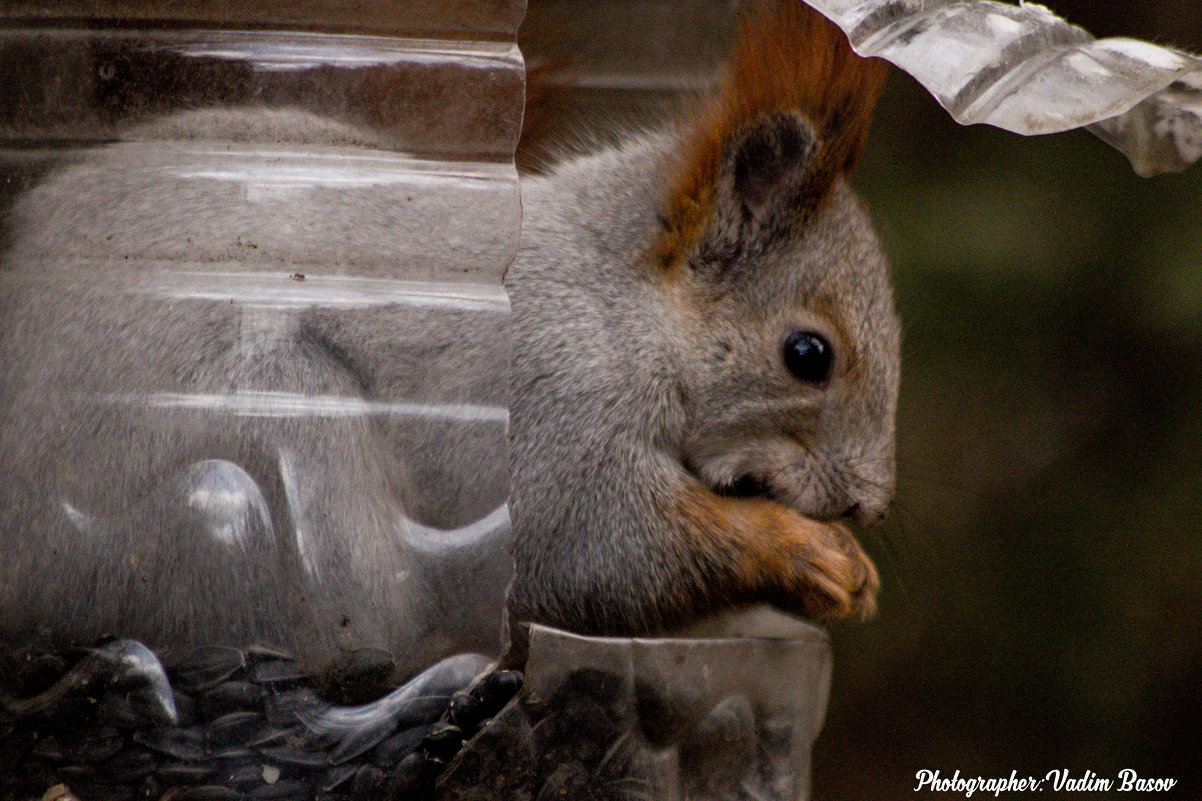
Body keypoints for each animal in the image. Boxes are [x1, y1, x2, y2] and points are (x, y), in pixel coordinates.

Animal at [0, 0, 894, 668]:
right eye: (807, 355)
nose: (870, 504)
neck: (618, 308)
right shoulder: (552, 405)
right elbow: (598, 543)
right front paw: (806, 552)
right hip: (256, 445)